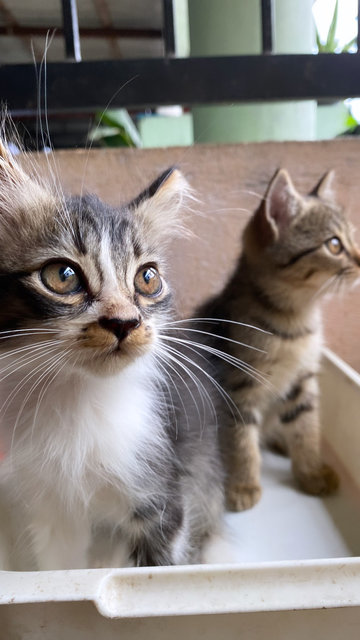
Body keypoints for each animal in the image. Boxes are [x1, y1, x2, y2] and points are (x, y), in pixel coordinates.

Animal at [0, 141, 225, 568]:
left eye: (148, 278)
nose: (124, 322)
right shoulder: (40, 509)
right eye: (63, 276)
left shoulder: (161, 498)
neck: (77, 400)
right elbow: (55, 568)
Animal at [201, 169, 358, 510]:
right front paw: (244, 484)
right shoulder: (237, 386)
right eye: (334, 245)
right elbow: (242, 440)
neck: (295, 324)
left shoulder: (303, 380)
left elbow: (307, 428)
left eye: (354, 237)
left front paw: (311, 471)